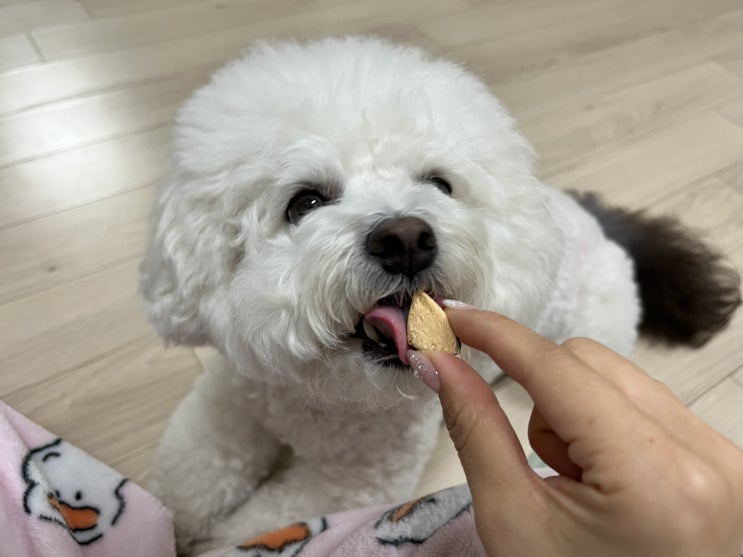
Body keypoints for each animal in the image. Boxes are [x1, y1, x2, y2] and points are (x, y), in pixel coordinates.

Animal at [140, 34, 740, 552]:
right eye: (304, 202)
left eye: (439, 184)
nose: (406, 239)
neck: (317, 396)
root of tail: (597, 224)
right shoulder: (229, 405)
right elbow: (185, 480)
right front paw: (167, 520)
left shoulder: (343, 486)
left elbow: (252, 524)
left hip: (595, 326)